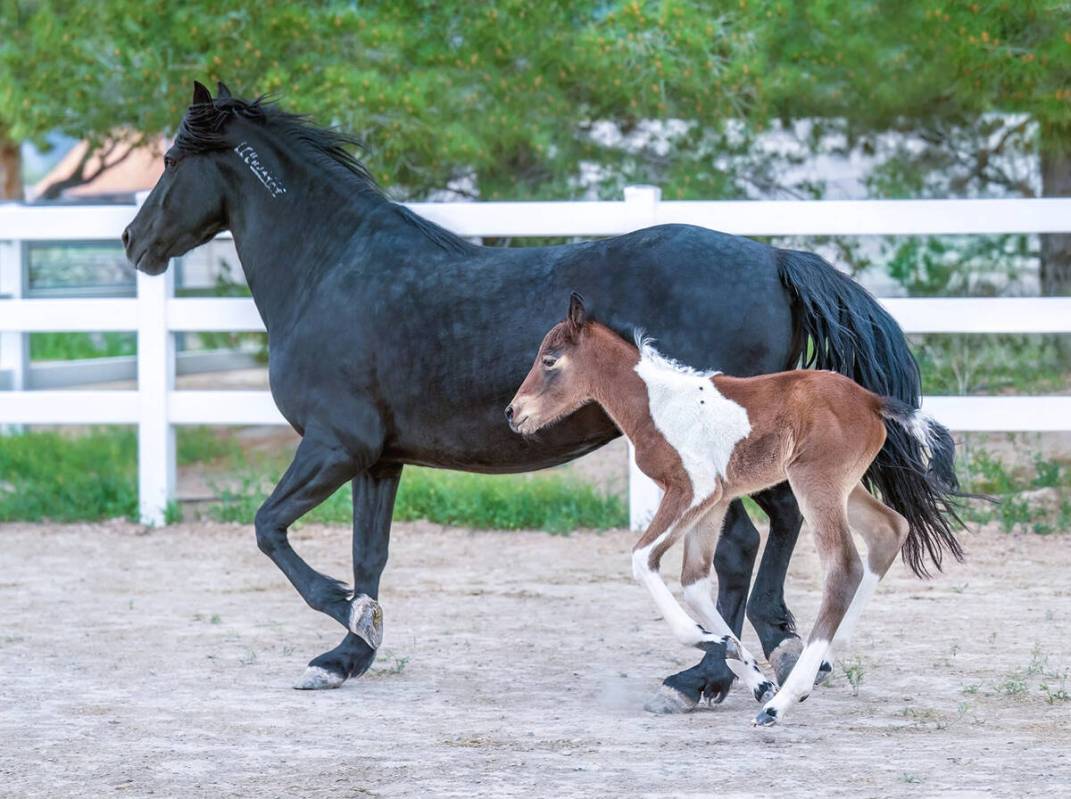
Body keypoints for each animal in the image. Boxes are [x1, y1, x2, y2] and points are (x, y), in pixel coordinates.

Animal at [121, 84, 916, 711]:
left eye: (170, 163)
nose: (132, 241)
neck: (331, 270)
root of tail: (774, 258)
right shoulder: (377, 459)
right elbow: (368, 552)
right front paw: (349, 653)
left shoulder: (333, 445)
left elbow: (269, 527)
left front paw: (345, 617)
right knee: (777, 527)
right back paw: (771, 652)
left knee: (742, 544)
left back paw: (704, 675)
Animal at [503, 291, 963, 724]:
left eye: (549, 359)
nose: (513, 412)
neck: (657, 404)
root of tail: (870, 400)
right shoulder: (714, 503)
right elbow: (693, 583)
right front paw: (743, 666)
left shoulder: (692, 491)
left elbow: (642, 559)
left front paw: (709, 646)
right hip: (844, 488)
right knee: (890, 530)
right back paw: (819, 667)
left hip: (816, 483)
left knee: (843, 567)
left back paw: (781, 704)